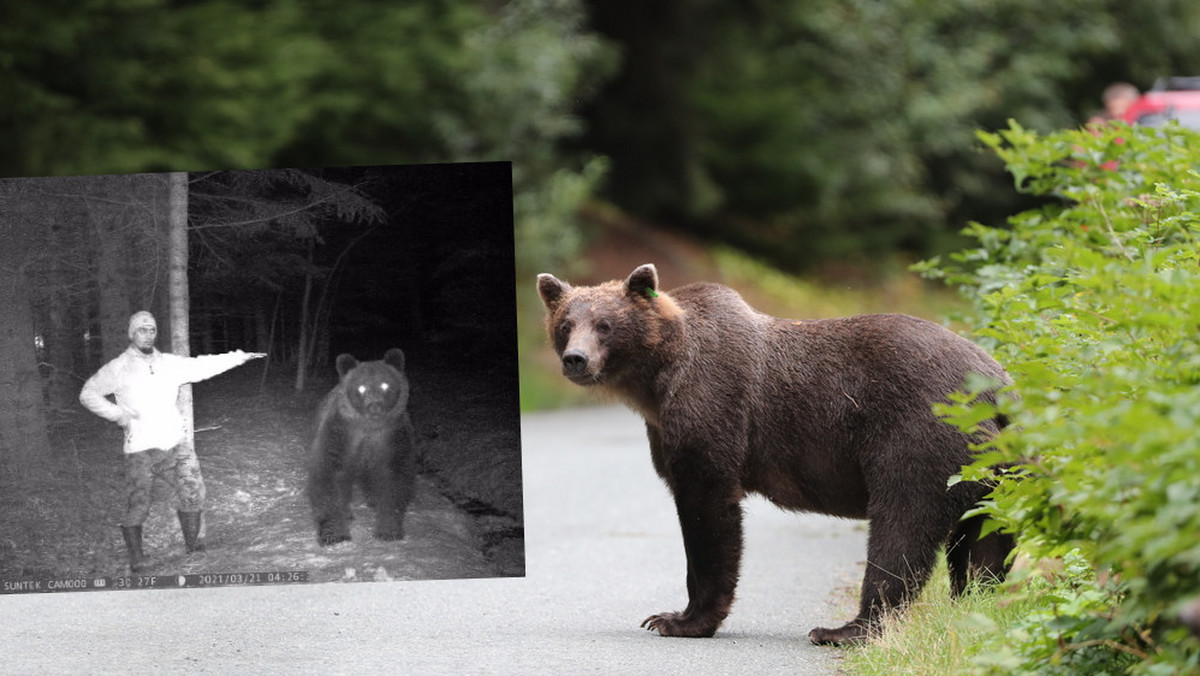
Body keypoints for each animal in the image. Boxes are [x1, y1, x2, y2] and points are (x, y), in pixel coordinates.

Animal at [304, 348, 417, 545]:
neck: (368, 426)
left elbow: (395, 475)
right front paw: (334, 533)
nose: (375, 407)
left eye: (385, 385)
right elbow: (330, 472)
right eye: (361, 387)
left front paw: (388, 530)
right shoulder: (343, 432)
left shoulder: (391, 435)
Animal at [540, 262, 1017, 643]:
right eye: (565, 324)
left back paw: (845, 629)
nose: (575, 359)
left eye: (605, 324)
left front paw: (677, 619)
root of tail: (997, 384)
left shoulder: (712, 408)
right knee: (986, 540)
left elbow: (708, 511)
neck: (656, 382)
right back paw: (972, 607)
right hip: (995, 468)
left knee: (902, 524)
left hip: (918, 435)